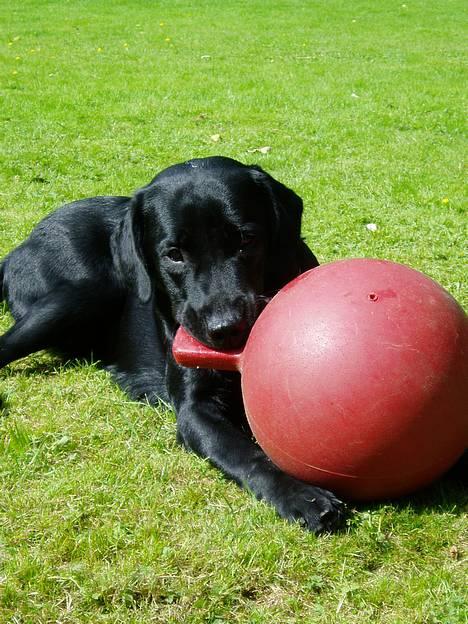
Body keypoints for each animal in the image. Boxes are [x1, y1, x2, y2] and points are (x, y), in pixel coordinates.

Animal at [0, 156, 344, 532]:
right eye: (174, 255)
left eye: (246, 239)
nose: (225, 328)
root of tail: (21, 246)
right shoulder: (194, 411)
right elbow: (244, 453)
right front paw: (299, 494)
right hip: (87, 290)